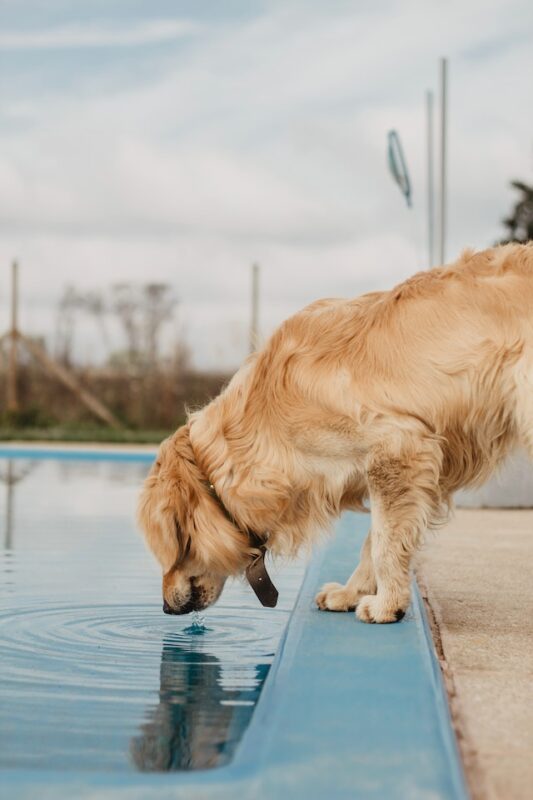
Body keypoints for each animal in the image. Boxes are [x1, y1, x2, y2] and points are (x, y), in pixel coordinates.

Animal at [138, 244, 532, 624]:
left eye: (168, 550)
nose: (165, 609)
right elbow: (373, 541)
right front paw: (351, 593)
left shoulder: (398, 449)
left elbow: (385, 541)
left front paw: (387, 604)